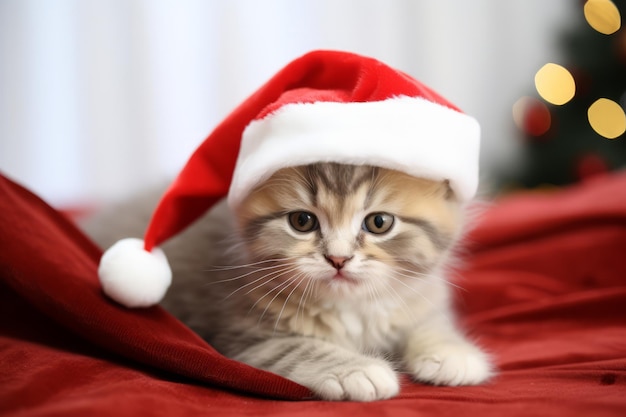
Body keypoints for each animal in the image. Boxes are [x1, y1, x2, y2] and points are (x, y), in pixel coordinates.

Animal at [84, 162, 492, 400]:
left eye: (379, 223)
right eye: (302, 221)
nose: (338, 259)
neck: (353, 308)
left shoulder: (419, 298)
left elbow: (430, 325)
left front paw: (451, 353)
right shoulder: (244, 335)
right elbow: (300, 348)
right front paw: (357, 369)